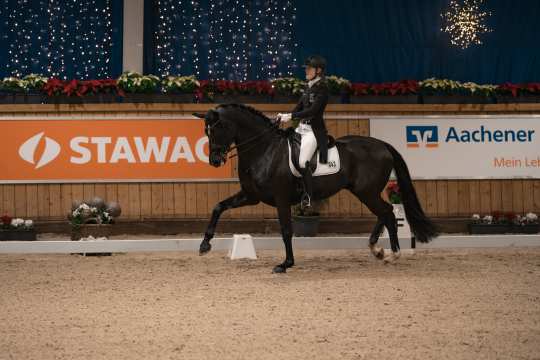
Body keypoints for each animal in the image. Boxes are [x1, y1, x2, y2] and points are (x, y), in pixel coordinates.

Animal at [192, 104, 436, 272]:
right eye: (206, 131)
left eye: (218, 128)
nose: (215, 160)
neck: (264, 150)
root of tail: (382, 145)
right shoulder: (251, 195)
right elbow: (218, 207)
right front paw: (204, 245)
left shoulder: (280, 198)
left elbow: (286, 230)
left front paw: (286, 264)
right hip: (364, 192)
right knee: (384, 213)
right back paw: (377, 250)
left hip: (366, 192)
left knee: (387, 213)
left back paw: (393, 254)